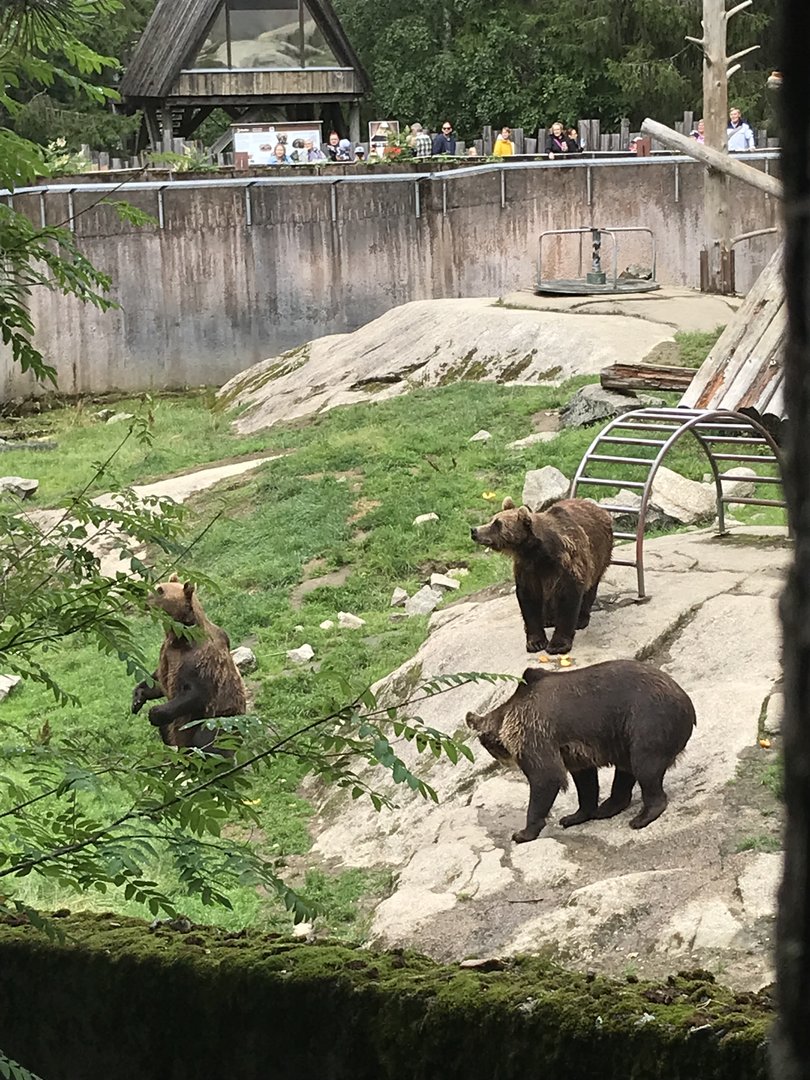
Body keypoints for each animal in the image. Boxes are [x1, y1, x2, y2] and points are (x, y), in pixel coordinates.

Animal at [132, 575, 246, 755]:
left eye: (159, 590)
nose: (141, 594)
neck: (181, 639)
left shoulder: (201, 660)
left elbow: (197, 693)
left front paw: (154, 712)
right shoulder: (167, 654)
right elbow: (157, 680)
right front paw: (138, 698)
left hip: (218, 722)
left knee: (209, 744)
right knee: (167, 732)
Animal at [466, 659, 696, 843]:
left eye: (490, 749)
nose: (505, 762)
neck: (508, 718)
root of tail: (688, 705)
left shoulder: (536, 731)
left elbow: (546, 777)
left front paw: (523, 833)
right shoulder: (573, 751)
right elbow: (585, 781)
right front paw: (574, 816)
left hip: (647, 721)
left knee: (645, 766)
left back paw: (642, 817)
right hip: (624, 732)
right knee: (627, 768)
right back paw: (607, 807)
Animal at [470, 497, 613, 654]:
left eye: (498, 524)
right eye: (492, 519)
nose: (474, 531)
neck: (537, 553)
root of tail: (598, 508)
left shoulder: (567, 564)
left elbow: (568, 599)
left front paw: (558, 644)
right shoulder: (527, 569)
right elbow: (529, 600)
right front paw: (536, 642)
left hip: (599, 555)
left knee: (590, 587)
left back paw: (581, 618)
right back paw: (547, 619)